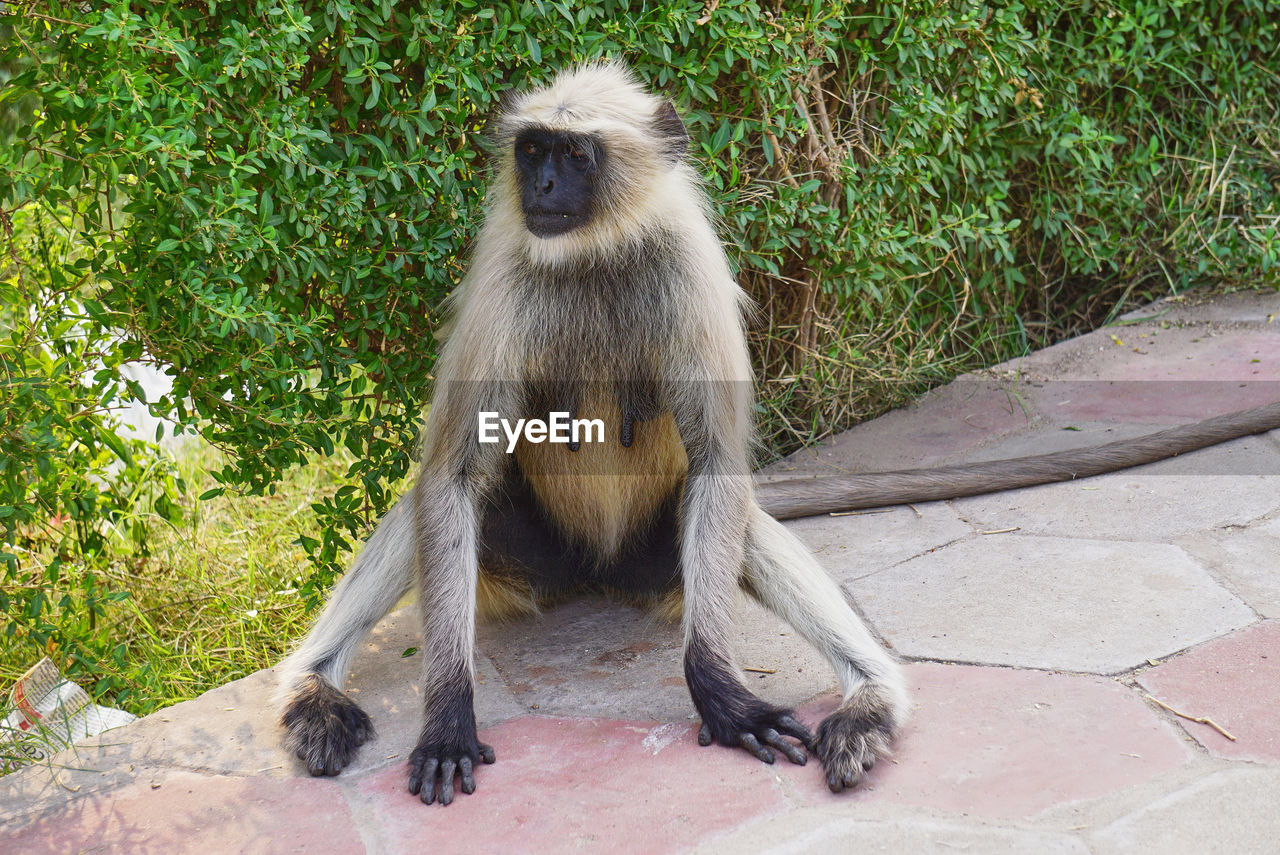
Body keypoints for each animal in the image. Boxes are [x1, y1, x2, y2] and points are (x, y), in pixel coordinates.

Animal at [280, 63, 1280, 803]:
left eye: (573, 153)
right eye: (532, 151)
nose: (543, 184)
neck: (598, 253)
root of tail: (594, 575)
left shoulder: (686, 270)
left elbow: (721, 464)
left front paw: (719, 691)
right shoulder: (506, 284)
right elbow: (450, 475)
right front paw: (450, 714)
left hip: (664, 565)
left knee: (741, 515)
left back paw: (870, 701)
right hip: (521, 561)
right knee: (435, 497)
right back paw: (313, 687)